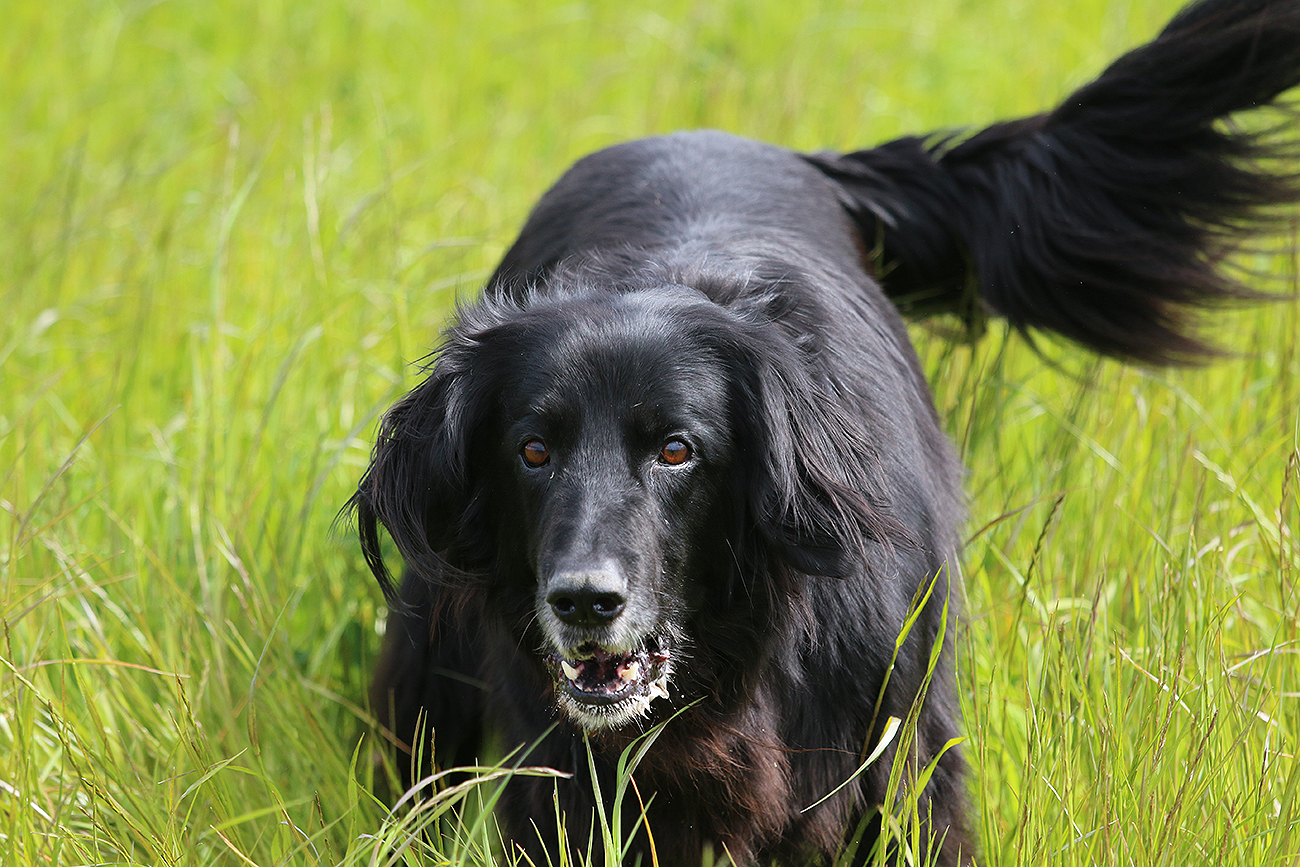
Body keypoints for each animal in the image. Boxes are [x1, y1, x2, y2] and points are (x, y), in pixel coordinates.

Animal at [351, 1, 1300, 863]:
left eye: (677, 449)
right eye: (533, 451)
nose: (584, 600)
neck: (741, 660)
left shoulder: (904, 759)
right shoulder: (567, 785)